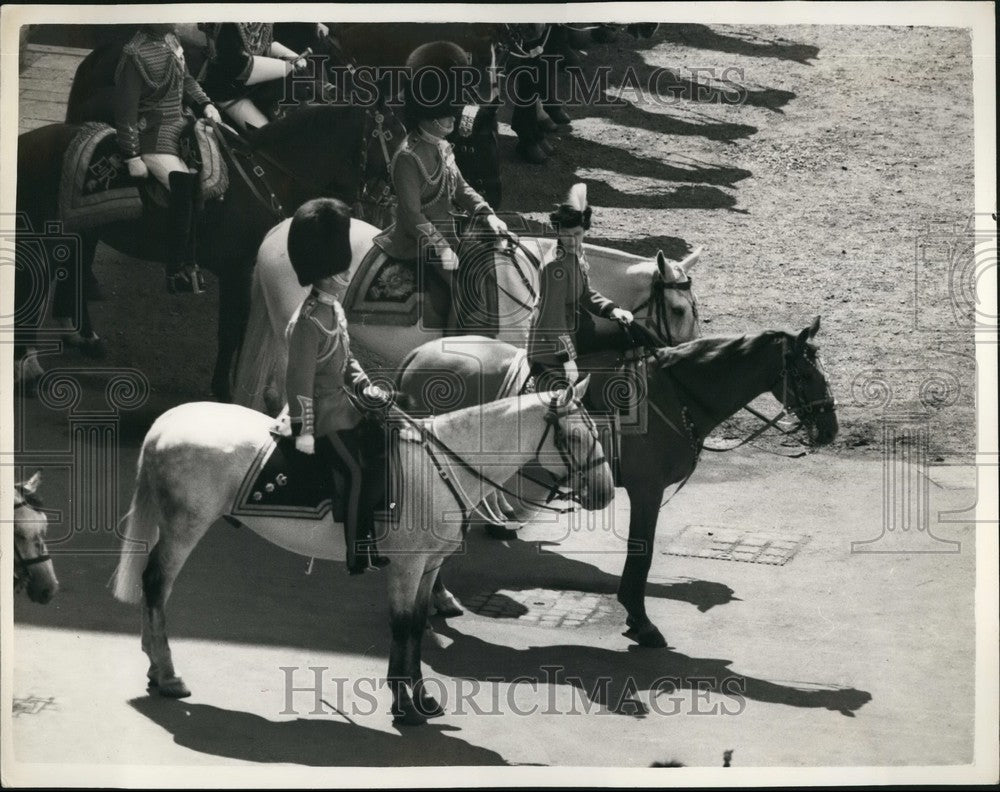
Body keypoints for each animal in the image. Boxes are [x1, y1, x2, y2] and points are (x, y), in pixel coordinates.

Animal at [109, 378, 608, 724]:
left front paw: (421, 698)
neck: (441, 466)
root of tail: (167, 421)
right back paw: (166, 673)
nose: (604, 493)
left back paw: (155, 667)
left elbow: (418, 627)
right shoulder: (406, 567)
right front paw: (404, 704)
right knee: (156, 585)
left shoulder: (428, 568)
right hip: (185, 527)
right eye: (575, 438)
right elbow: (403, 628)